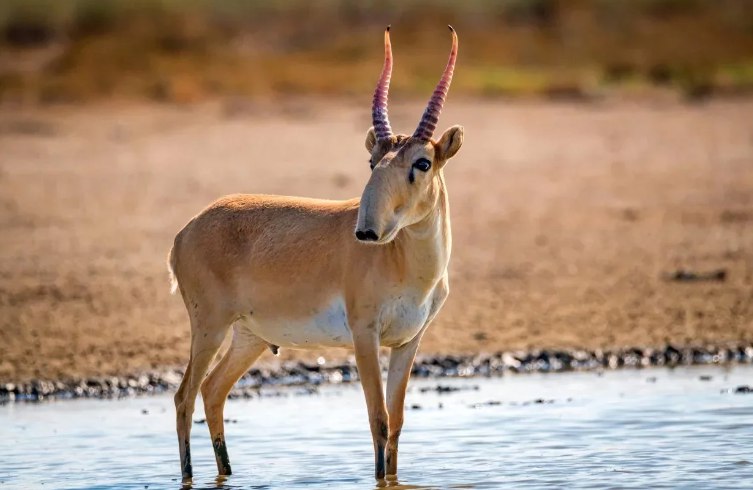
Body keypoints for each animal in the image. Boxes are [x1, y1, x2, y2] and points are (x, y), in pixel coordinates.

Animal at [170, 24, 462, 480]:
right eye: (372, 160)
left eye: (423, 162)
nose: (366, 230)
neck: (406, 265)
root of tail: (186, 231)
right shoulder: (364, 336)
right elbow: (378, 420)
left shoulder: (408, 342)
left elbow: (396, 422)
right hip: (210, 328)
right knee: (184, 396)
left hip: (249, 337)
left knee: (213, 391)